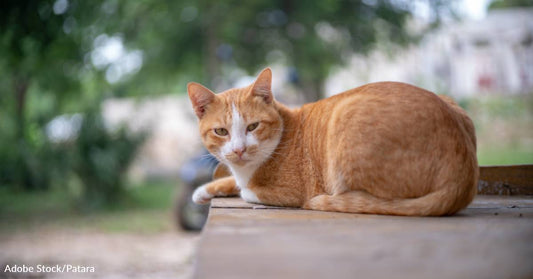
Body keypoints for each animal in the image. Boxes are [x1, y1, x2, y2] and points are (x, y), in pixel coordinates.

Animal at [187, 68, 478, 217]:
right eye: (221, 131)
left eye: (253, 126)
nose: (239, 149)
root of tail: (463, 176)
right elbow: (233, 181)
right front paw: (205, 190)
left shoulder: (292, 192)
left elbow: (247, 190)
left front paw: (239, 188)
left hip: (344, 117)